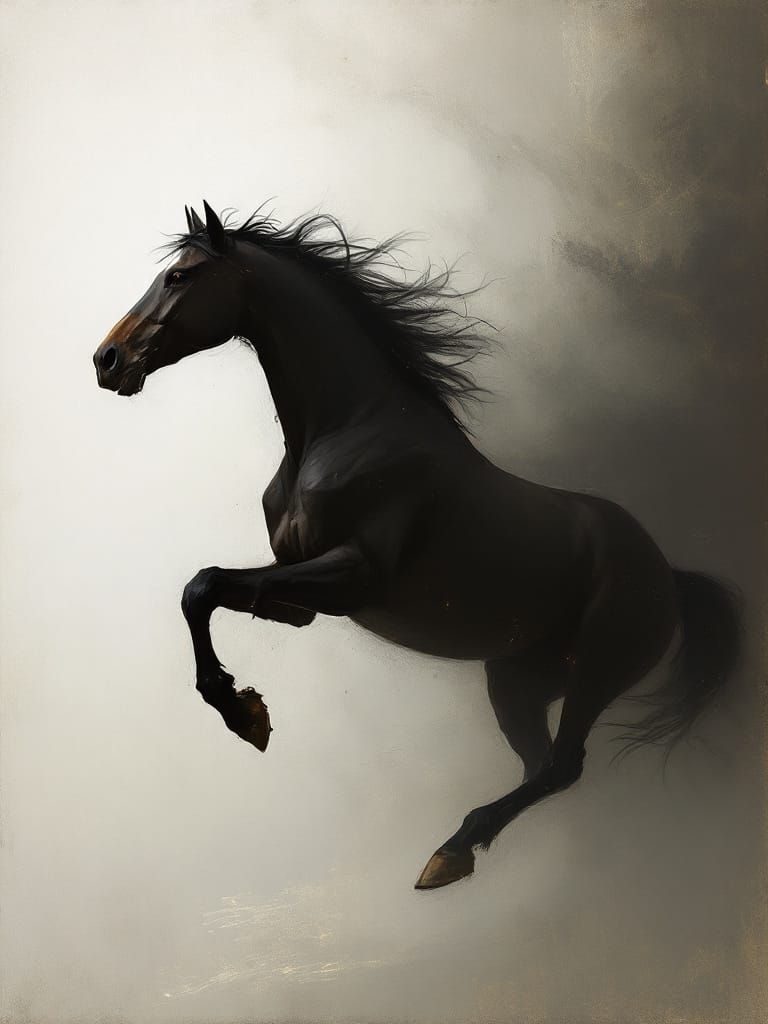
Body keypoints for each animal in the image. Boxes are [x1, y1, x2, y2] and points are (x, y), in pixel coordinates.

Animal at [93, 202, 741, 890]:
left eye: (181, 276)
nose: (106, 360)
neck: (347, 431)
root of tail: (669, 575)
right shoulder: (296, 598)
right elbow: (204, 590)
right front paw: (245, 711)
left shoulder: (354, 576)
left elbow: (205, 584)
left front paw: (245, 715)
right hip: (517, 681)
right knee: (541, 765)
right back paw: (456, 849)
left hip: (596, 671)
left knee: (563, 766)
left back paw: (450, 852)